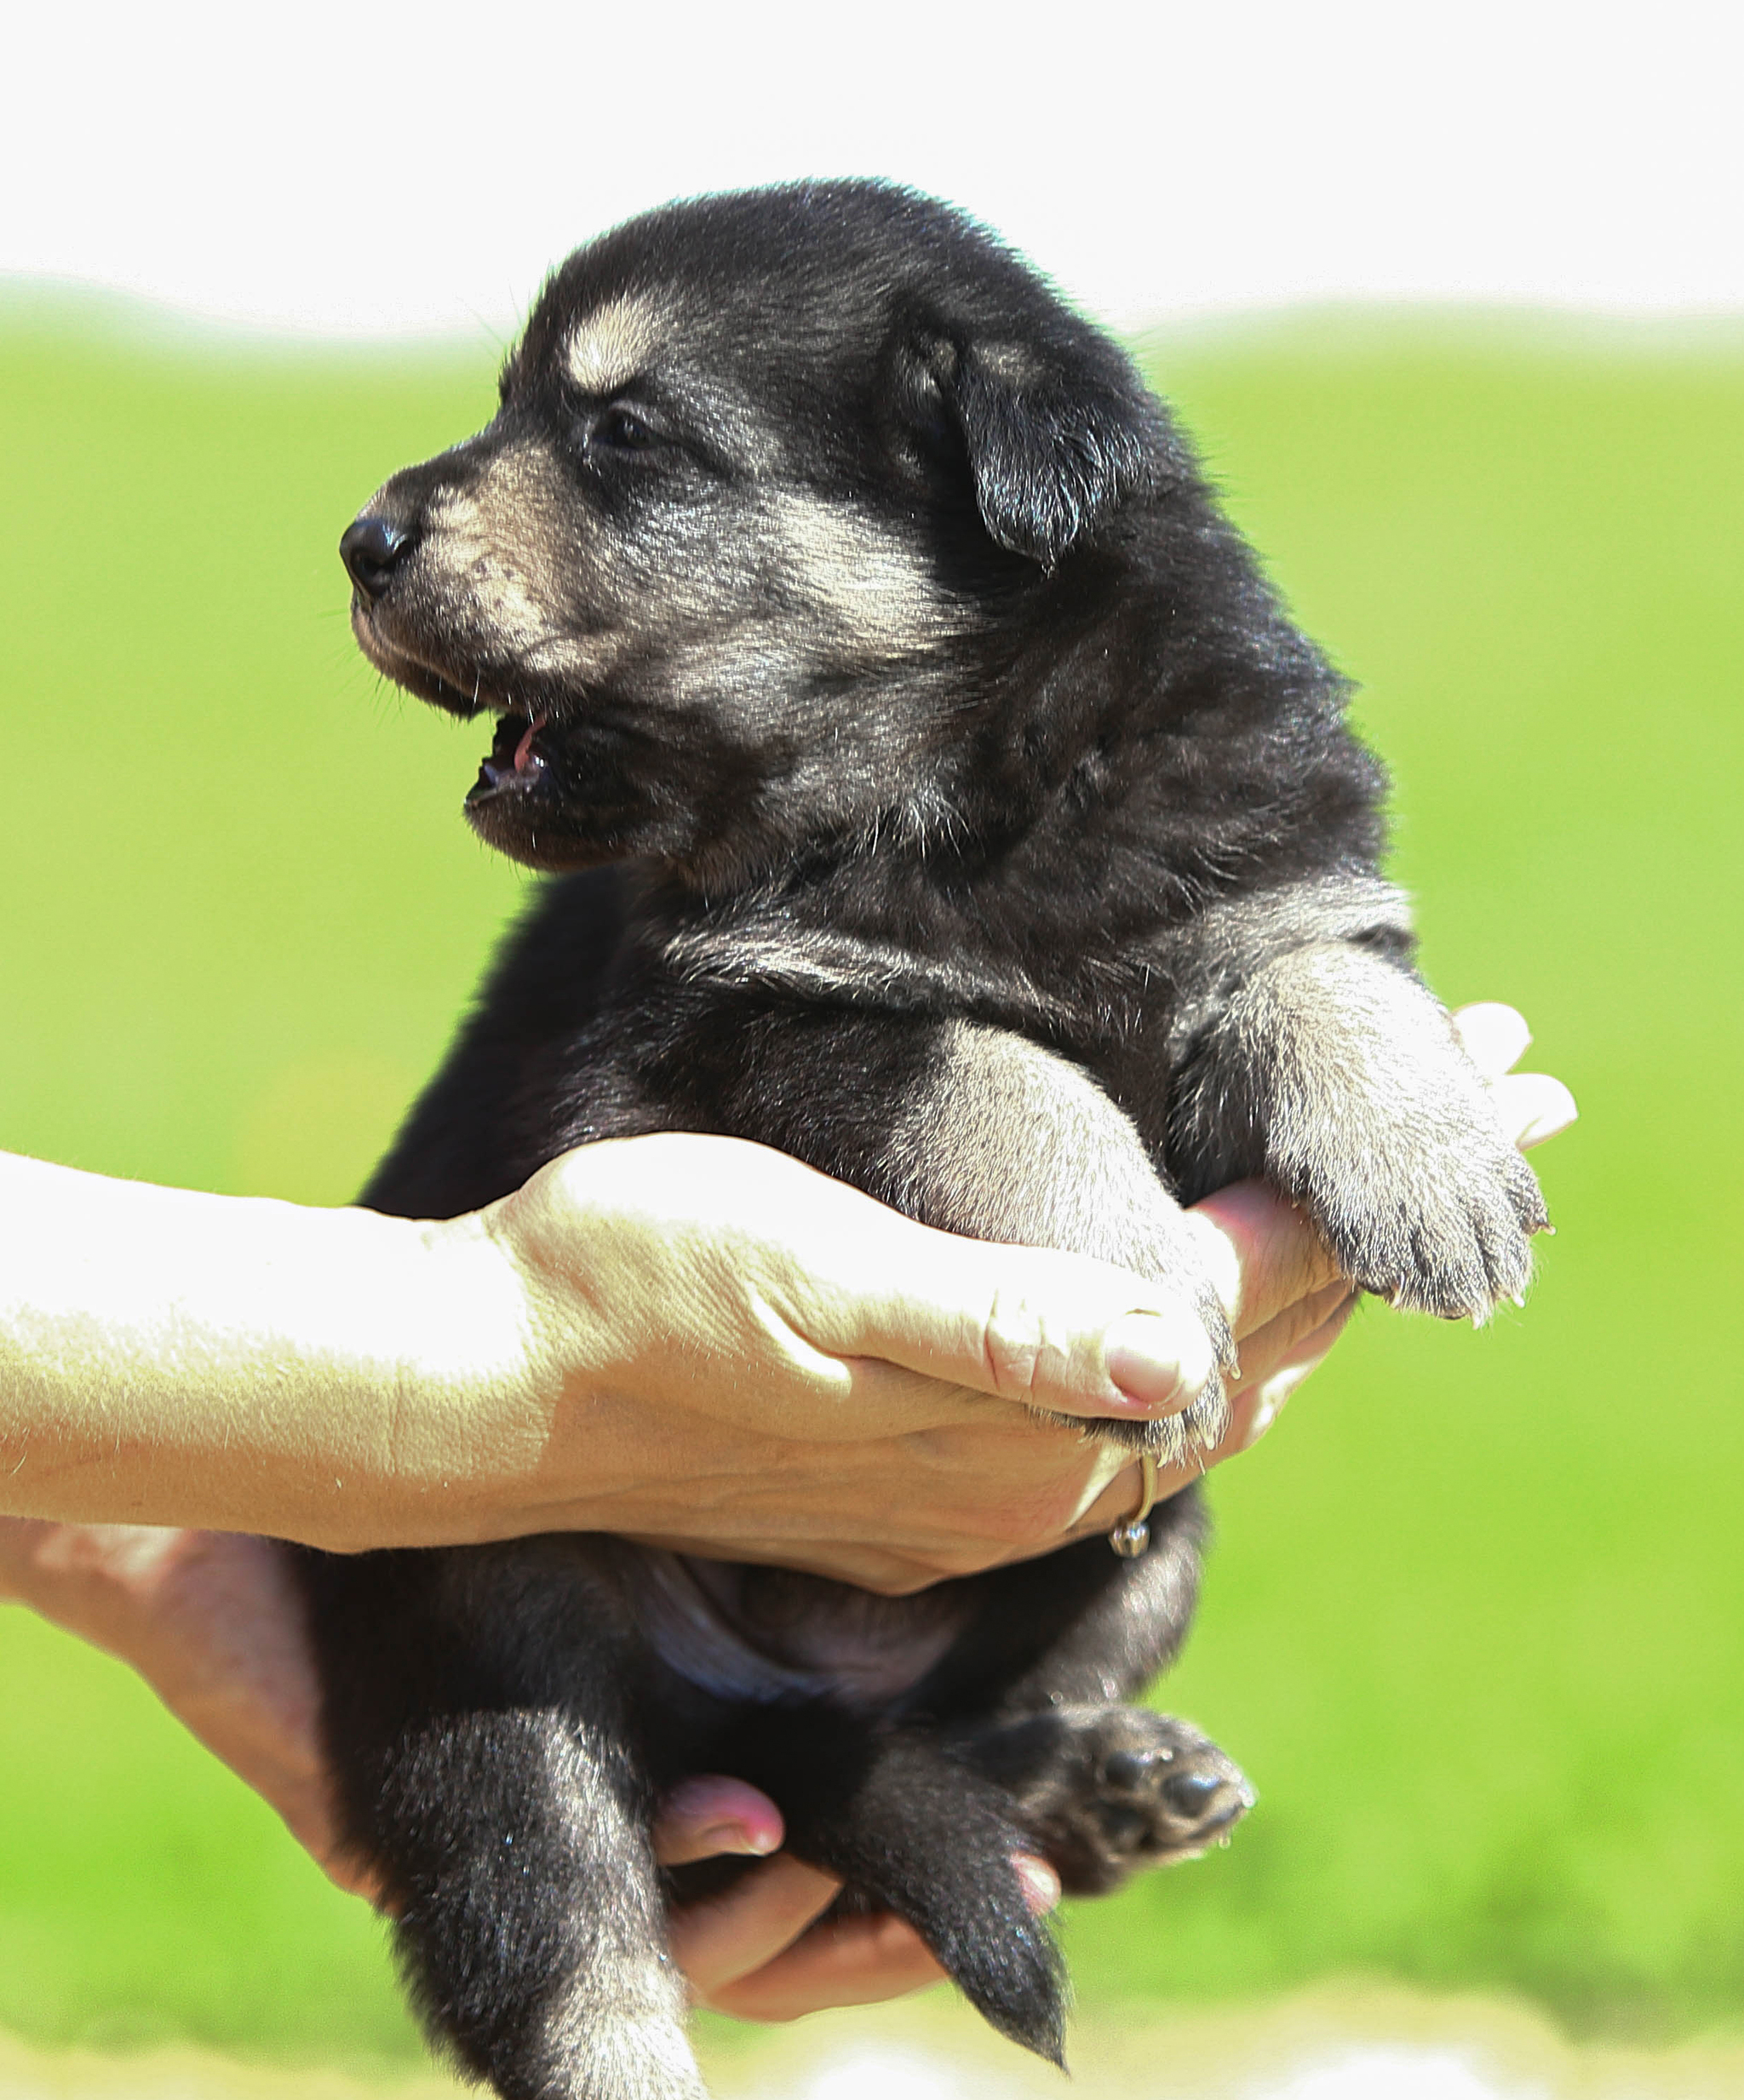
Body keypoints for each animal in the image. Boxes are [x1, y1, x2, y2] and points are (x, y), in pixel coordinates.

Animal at [307, 185, 1546, 2100]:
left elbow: (1318, 962)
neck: (973, 763)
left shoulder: (1253, 864)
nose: (357, 541)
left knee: (979, 1735)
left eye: (622, 433)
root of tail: (757, 1712)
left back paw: (1108, 1785)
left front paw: (1435, 1163)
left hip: (1149, 1559)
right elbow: (992, 1068)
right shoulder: (746, 1028)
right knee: (567, 1945)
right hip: (479, 1644)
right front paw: (1141, 1279)